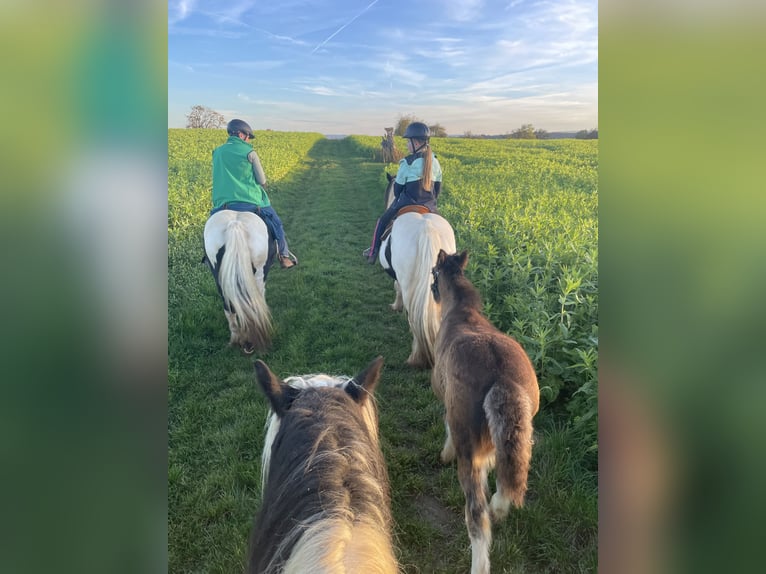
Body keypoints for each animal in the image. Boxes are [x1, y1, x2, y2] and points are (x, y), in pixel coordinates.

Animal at [202, 212, 278, 356]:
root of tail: (235, 223)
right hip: (259, 276)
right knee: (254, 303)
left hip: (221, 281)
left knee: (229, 308)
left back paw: (236, 341)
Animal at [378, 173, 456, 368]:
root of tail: (427, 230)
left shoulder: (399, 279)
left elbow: (396, 288)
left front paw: (396, 306)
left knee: (413, 318)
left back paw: (416, 357)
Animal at [428, 251, 544, 574]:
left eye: (433, 273)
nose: (431, 290)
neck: (461, 312)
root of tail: (503, 378)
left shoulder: (449, 408)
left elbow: (446, 428)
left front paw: (444, 455)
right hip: (524, 428)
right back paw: (499, 508)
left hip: (468, 450)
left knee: (476, 513)